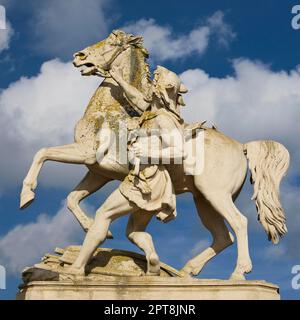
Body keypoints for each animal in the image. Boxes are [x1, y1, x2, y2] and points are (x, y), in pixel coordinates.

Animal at [19, 30, 290, 280]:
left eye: (112, 42)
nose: (79, 56)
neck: (110, 111)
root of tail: (242, 145)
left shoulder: (85, 154)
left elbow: (42, 153)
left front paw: (27, 196)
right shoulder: (99, 172)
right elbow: (72, 197)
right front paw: (93, 228)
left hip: (215, 194)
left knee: (239, 223)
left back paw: (238, 273)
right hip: (204, 200)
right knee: (223, 237)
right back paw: (185, 271)